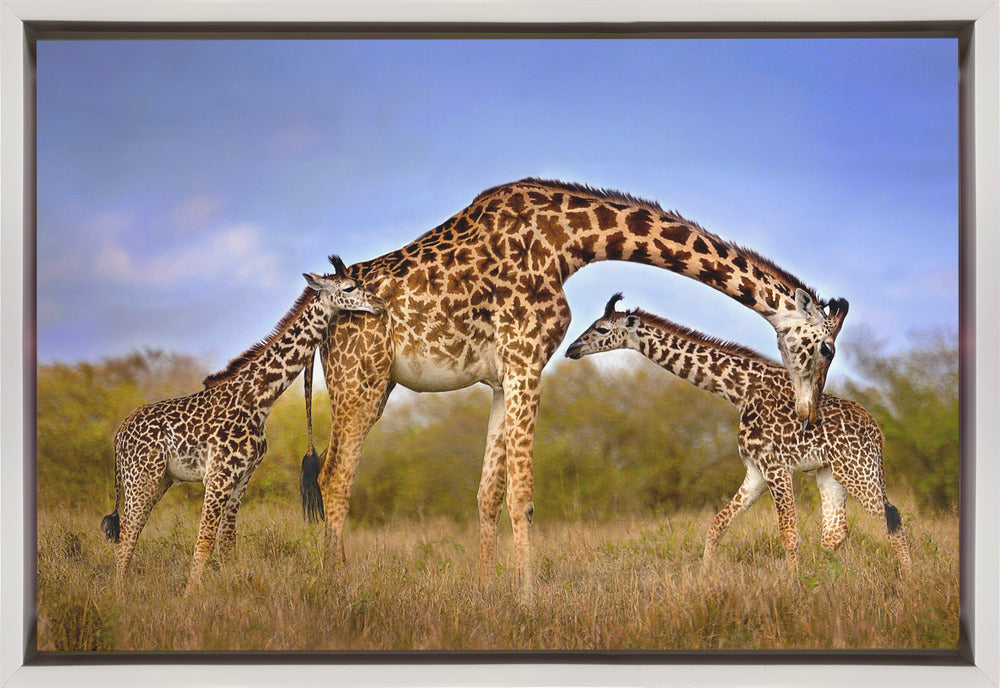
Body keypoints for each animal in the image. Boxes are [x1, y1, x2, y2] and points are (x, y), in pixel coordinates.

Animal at [100, 257, 384, 594]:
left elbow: (227, 546)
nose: (379, 304)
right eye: (350, 287)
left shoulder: (242, 478)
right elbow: (204, 543)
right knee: (127, 537)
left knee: (131, 534)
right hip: (141, 477)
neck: (258, 398)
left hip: (158, 480)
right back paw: (119, 597)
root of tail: (119, 434)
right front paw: (189, 600)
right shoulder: (218, 476)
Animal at [302, 178, 850, 598]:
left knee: (334, 472)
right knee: (336, 476)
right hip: (361, 378)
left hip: (371, 386)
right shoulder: (527, 358)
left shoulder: (502, 377)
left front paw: (484, 591)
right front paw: (527, 598)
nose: (808, 415)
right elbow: (522, 495)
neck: (569, 241)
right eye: (826, 349)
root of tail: (318, 314)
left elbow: (488, 493)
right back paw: (335, 587)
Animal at [564, 294, 911, 573]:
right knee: (835, 532)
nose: (571, 348)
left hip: (858, 470)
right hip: (831, 474)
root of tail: (876, 431)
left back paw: (908, 582)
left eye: (602, 329)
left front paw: (795, 587)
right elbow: (718, 523)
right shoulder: (755, 471)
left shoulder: (775, 466)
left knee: (890, 517)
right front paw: (703, 578)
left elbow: (788, 532)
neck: (739, 390)